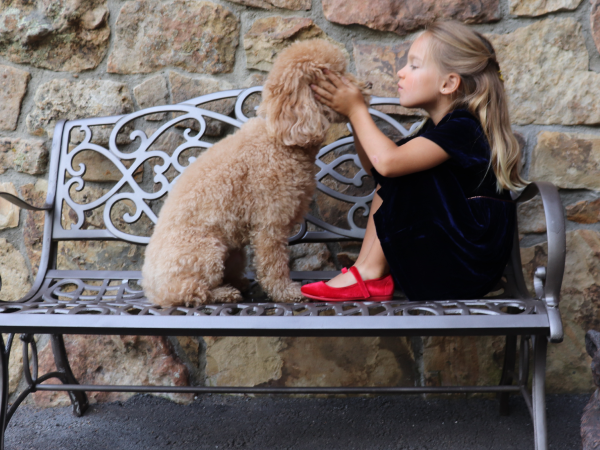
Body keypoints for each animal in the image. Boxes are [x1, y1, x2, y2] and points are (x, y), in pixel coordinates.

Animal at [143, 38, 370, 308]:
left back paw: (237, 283)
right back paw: (223, 293)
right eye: (337, 74)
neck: (280, 140)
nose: (368, 87)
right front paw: (286, 292)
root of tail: (150, 288)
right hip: (206, 250)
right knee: (186, 290)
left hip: (233, 251)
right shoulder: (270, 222)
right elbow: (274, 264)